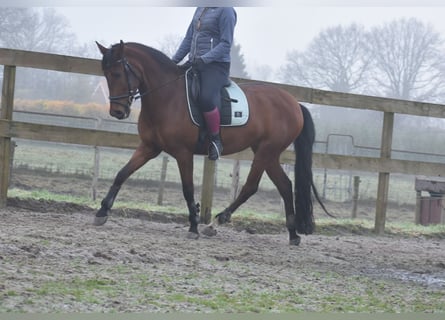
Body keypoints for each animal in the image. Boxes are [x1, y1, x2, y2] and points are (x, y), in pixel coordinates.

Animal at [93, 40, 324, 245]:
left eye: (117, 73)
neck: (167, 96)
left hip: (266, 151)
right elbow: (122, 173)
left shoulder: (183, 152)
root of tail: (294, 103)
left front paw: (194, 226)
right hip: (268, 152)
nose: (117, 112)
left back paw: (215, 223)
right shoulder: (149, 147)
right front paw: (102, 211)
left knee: (250, 187)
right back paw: (293, 235)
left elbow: (187, 189)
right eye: (106, 74)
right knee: (285, 185)